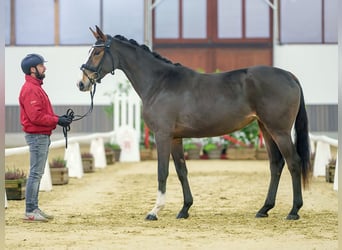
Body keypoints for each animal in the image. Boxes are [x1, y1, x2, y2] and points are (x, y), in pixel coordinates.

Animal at [79, 25, 312, 221]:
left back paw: (293, 211)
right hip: (266, 129)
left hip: (279, 131)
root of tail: (289, 75)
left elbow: (162, 171)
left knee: (294, 162)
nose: (81, 83)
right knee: (276, 164)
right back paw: (264, 209)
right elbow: (182, 171)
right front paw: (184, 209)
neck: (159, 83)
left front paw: (155, 211)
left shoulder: (162, 135)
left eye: (97, 52)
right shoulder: (175, 137)